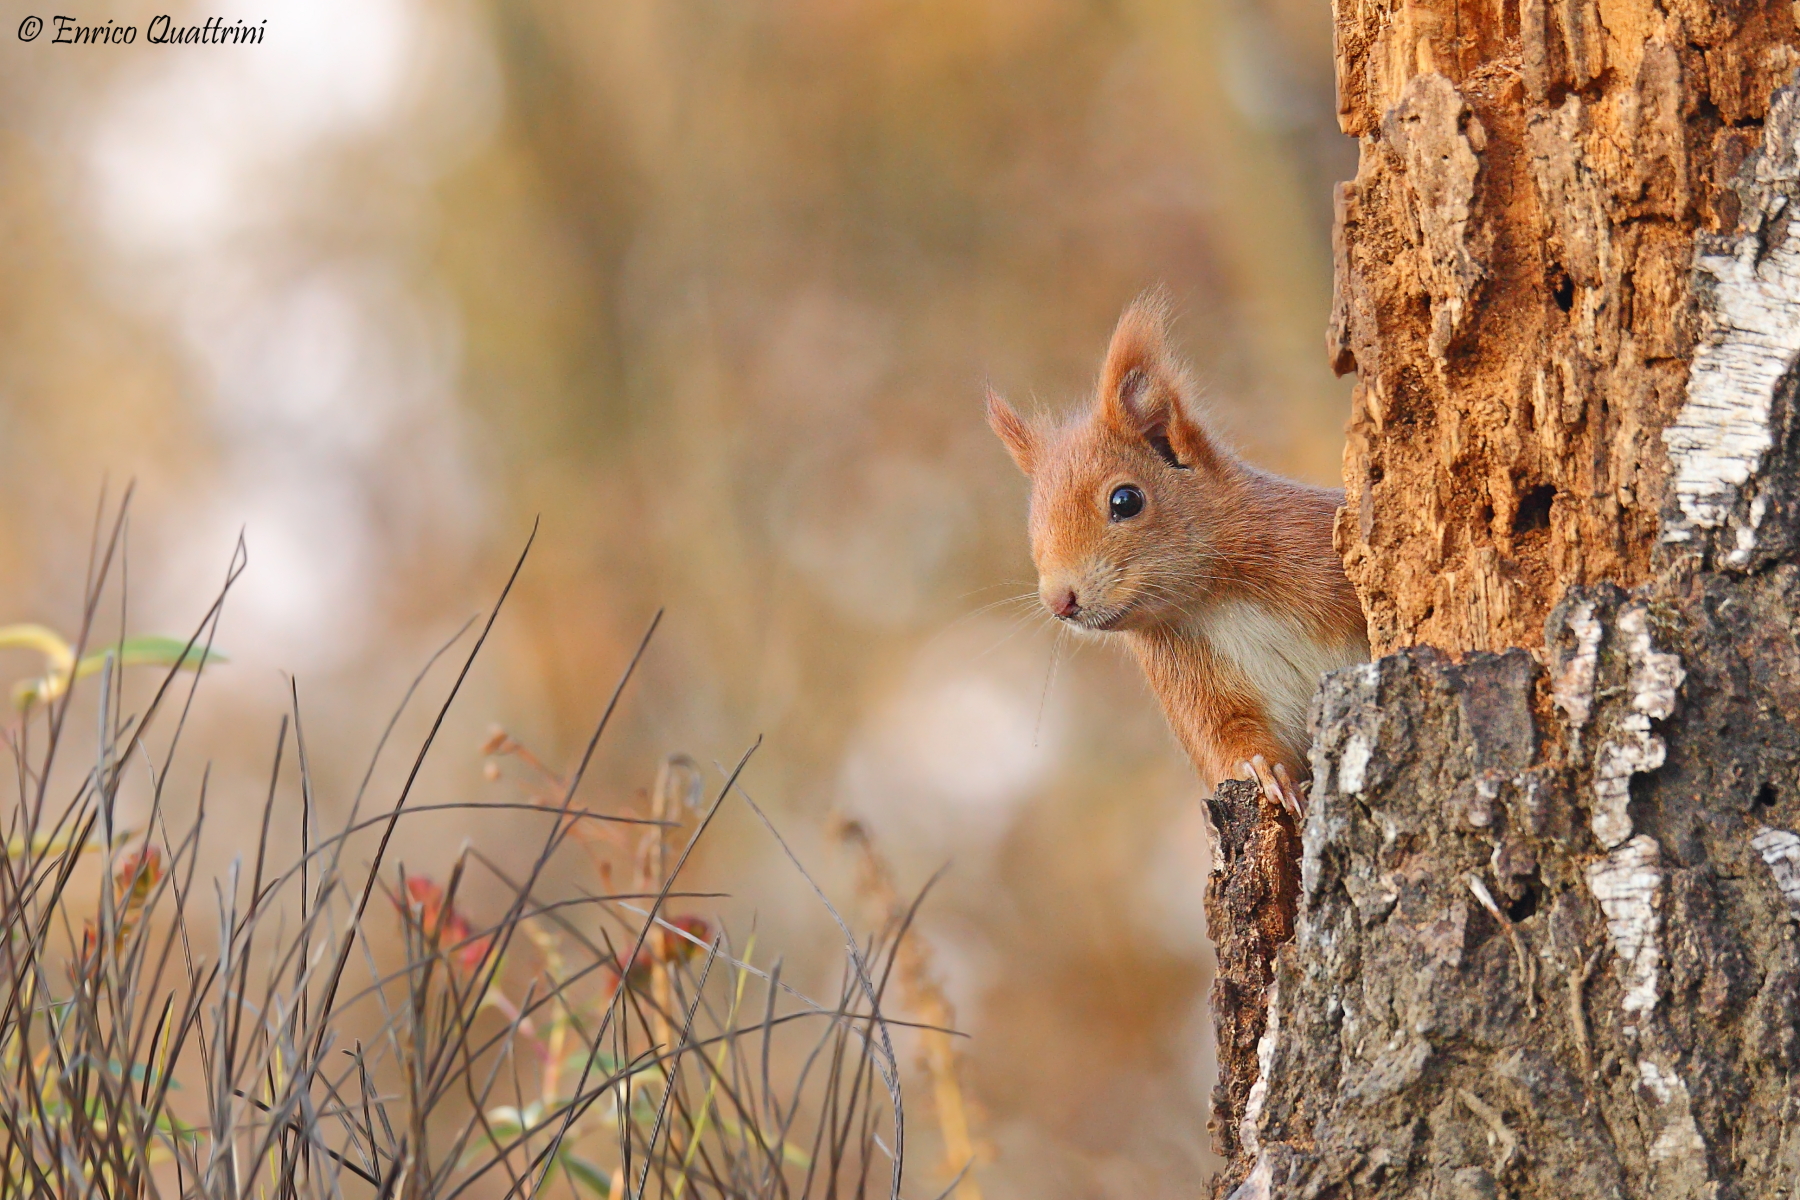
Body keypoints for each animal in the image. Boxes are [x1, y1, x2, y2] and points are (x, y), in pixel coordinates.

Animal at [986, 296, 1369, 814]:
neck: (1214, 601)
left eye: (1126, 500)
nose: (1059, 602)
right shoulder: (1193, 688)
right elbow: (1227, 741)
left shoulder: (1315, 552)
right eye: (1031, 522)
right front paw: (1265, 772)